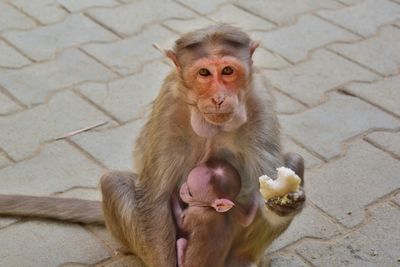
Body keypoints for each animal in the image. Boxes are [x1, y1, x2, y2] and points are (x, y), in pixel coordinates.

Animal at [0, 24, 304, 266]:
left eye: (228, 71)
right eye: (205, 73)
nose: (218, 97)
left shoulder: (259, 102)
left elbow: (259, 190)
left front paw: (284, 202)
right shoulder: (169, 106)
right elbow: (154, 196)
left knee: (295, 161)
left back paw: (244, 260)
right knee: (113, 183)